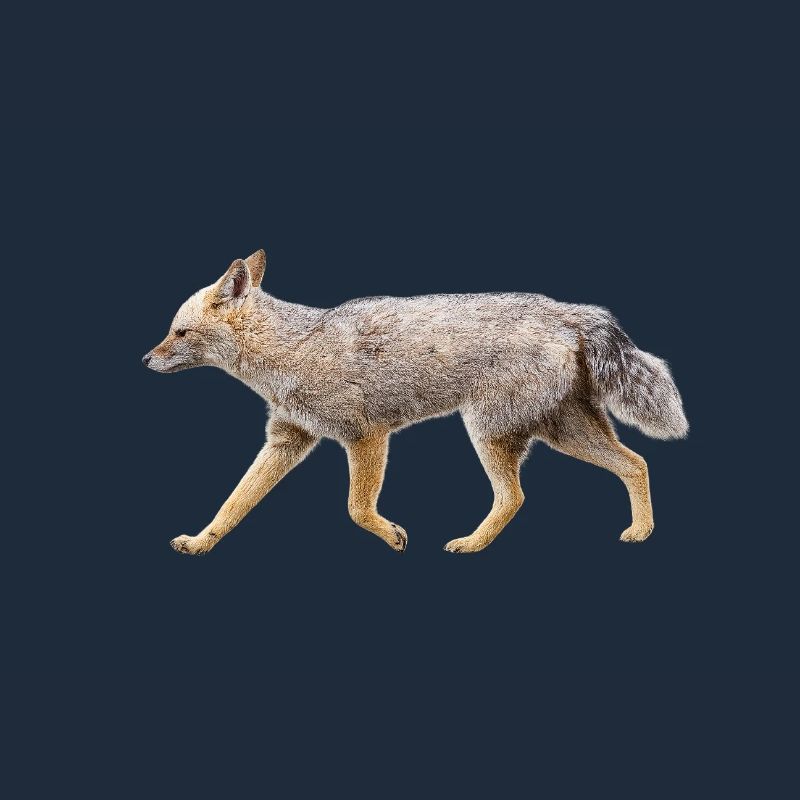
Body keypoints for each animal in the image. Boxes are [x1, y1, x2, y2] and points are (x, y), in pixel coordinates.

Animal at [143, 249, 688, 556]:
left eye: (179, 333)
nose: (145, 358)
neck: (293, 347)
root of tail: (568, 311)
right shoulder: (287, 440)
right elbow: (232, 504)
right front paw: (201, 542)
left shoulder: (366, 436)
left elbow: (355, 509)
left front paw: (391, 535)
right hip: (561, 432)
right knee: (635, 463)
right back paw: (641, 531)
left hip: (487, 431)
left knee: (515, 496)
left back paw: (471, 544)